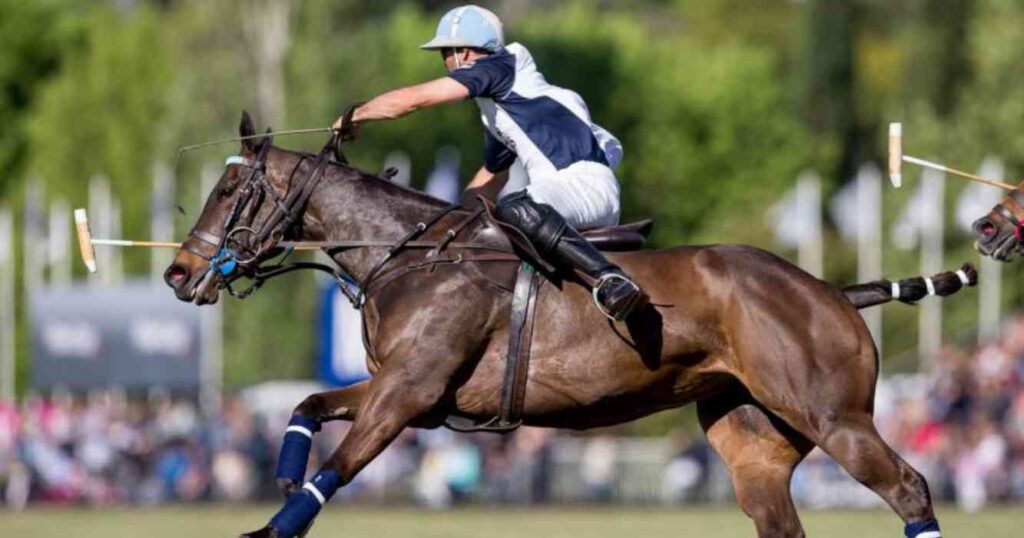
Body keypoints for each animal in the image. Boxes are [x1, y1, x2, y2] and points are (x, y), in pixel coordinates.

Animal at [165, 113, 972, 538]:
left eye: (231, 189)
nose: (177, 274)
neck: (410, 253)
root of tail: (832, 290)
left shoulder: (408, 390)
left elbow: (342, 465)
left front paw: (277, 521)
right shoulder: (409, 391)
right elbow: (307, 405)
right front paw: (282, 470)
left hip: (836, 416)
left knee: (909, 487)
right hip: (755, 443)